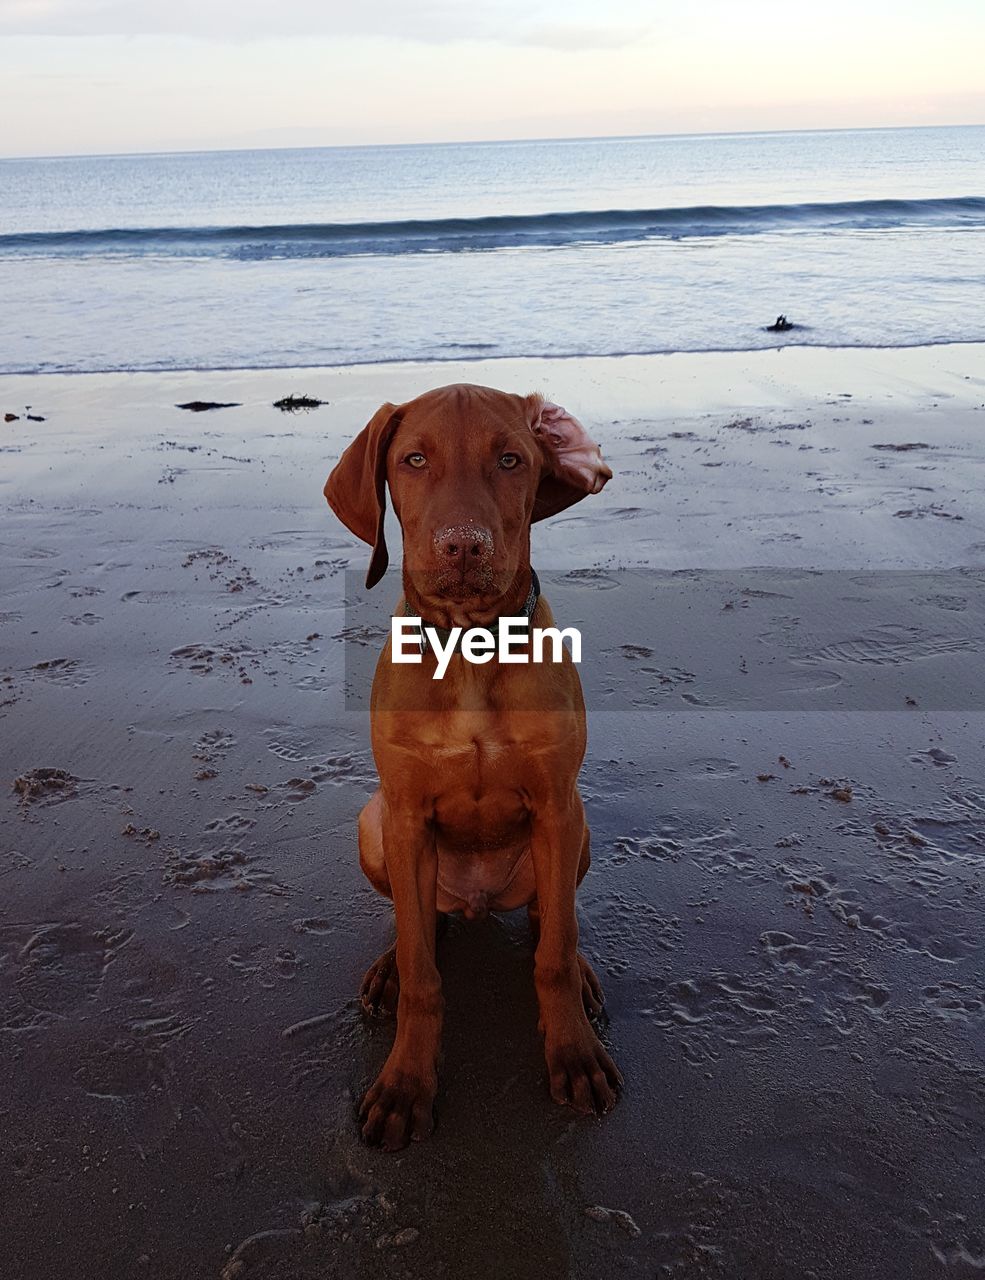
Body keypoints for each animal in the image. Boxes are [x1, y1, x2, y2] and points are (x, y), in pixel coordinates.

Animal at [324, 378, 614, 1152]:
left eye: (511, 459)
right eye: (414, 459)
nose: (463, 545)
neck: (471, 649)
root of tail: (479, 900)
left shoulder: (556, 804)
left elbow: (551, 955)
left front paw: (571, 1051)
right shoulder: (402, 813)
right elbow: (425, 976)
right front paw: (405, 1083)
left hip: (576, 831)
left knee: (549, 918)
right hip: (373, 826)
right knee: (420, 922)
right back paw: (391, 967)